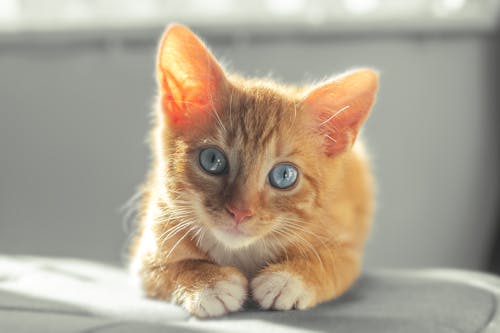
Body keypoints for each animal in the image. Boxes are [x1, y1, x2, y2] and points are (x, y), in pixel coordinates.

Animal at [130, 24, 378, 316]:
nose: (240, 211)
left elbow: (331, 263)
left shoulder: (345, 244)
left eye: (284, 176)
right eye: (212, 160)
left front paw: (289, 279)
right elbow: (166, 268)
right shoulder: (148, 250)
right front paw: (209, 282)